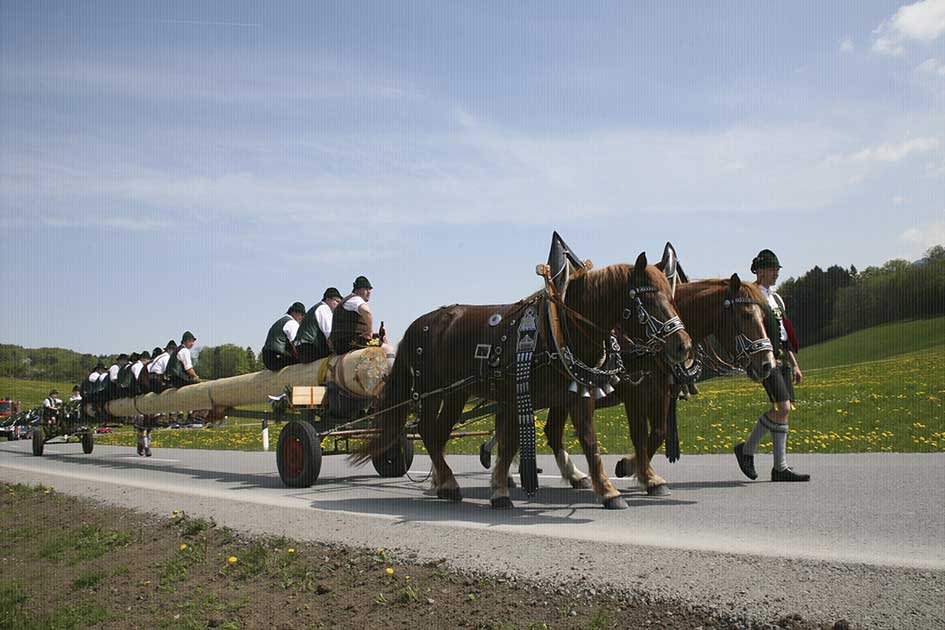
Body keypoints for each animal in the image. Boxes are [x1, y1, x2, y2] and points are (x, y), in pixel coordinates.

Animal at [350, 254, 688, 512]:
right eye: (648, 298)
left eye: (672, 297)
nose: (683, 345)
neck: (557, 330)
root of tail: (419, 324)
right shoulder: (518, 397)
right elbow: (512, 441)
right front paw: (501, 491)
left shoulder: (578, 396)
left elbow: (590, 443)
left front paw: (607, 490)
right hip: (431, 392)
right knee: (427, 431)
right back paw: (448, 483)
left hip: (457, 393)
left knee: (437, 433)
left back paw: (443, 482)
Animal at [544, 274, 780, 496]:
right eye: (746, 315)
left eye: (763, 317)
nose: (768, 364)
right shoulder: (635, 397)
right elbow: (640, 434)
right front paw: (643, 474)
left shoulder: (661, 394)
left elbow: (658, 432)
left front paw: (633, 467)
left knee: (552, 432)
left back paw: (575, 476)